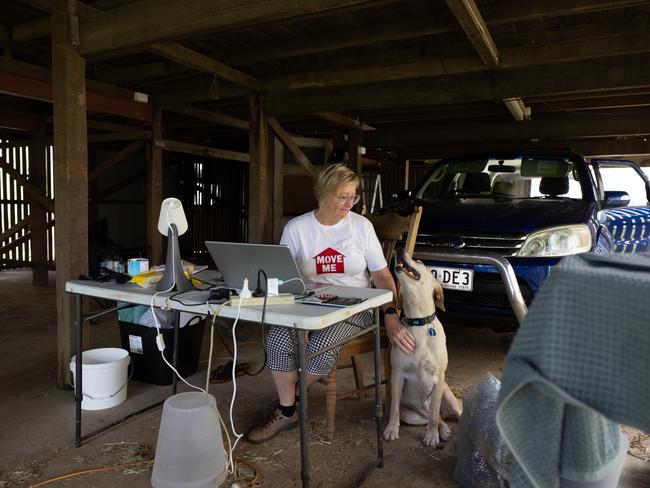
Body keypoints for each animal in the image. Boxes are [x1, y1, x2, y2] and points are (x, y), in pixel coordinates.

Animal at [382, 250, 464, 448]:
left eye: (419, 261)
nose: (399, 250)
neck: (418, 321)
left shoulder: (438, 378)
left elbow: (434, 414)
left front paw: (432, 436)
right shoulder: (397, 374)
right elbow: (394, 409)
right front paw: (392, 429)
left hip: (446, 392)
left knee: (441, 413)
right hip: (412, 415)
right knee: (431, 417)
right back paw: (444, 429)